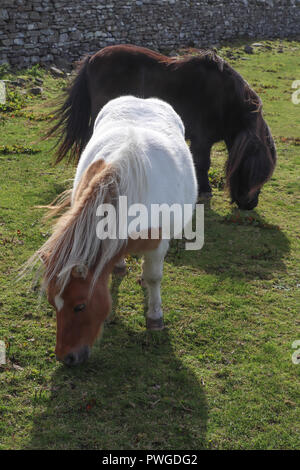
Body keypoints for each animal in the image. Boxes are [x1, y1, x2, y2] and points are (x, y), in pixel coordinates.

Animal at [28, 95, 198, 366]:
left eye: (80, 306)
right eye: (52, 304)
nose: (66, 358)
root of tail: (142, 99)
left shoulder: (158, 246)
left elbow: (154, 277)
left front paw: (155, 316)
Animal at [48, 44, 276, 209]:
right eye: (252, 171)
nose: (250, 205)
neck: (226, 101)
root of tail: (93, 58)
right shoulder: (202, 140)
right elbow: (203, 164)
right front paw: (204, 191)